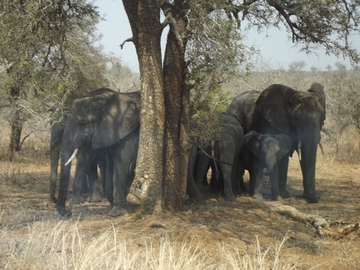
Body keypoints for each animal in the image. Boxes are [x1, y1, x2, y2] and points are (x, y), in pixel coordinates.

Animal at [56, 88, 141, 217]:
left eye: (83, 123)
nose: (68, 212)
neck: (102, 101)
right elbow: (110, 165)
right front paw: (111, 208)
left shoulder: (129, 134)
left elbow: (122, 166)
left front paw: (116, 213)